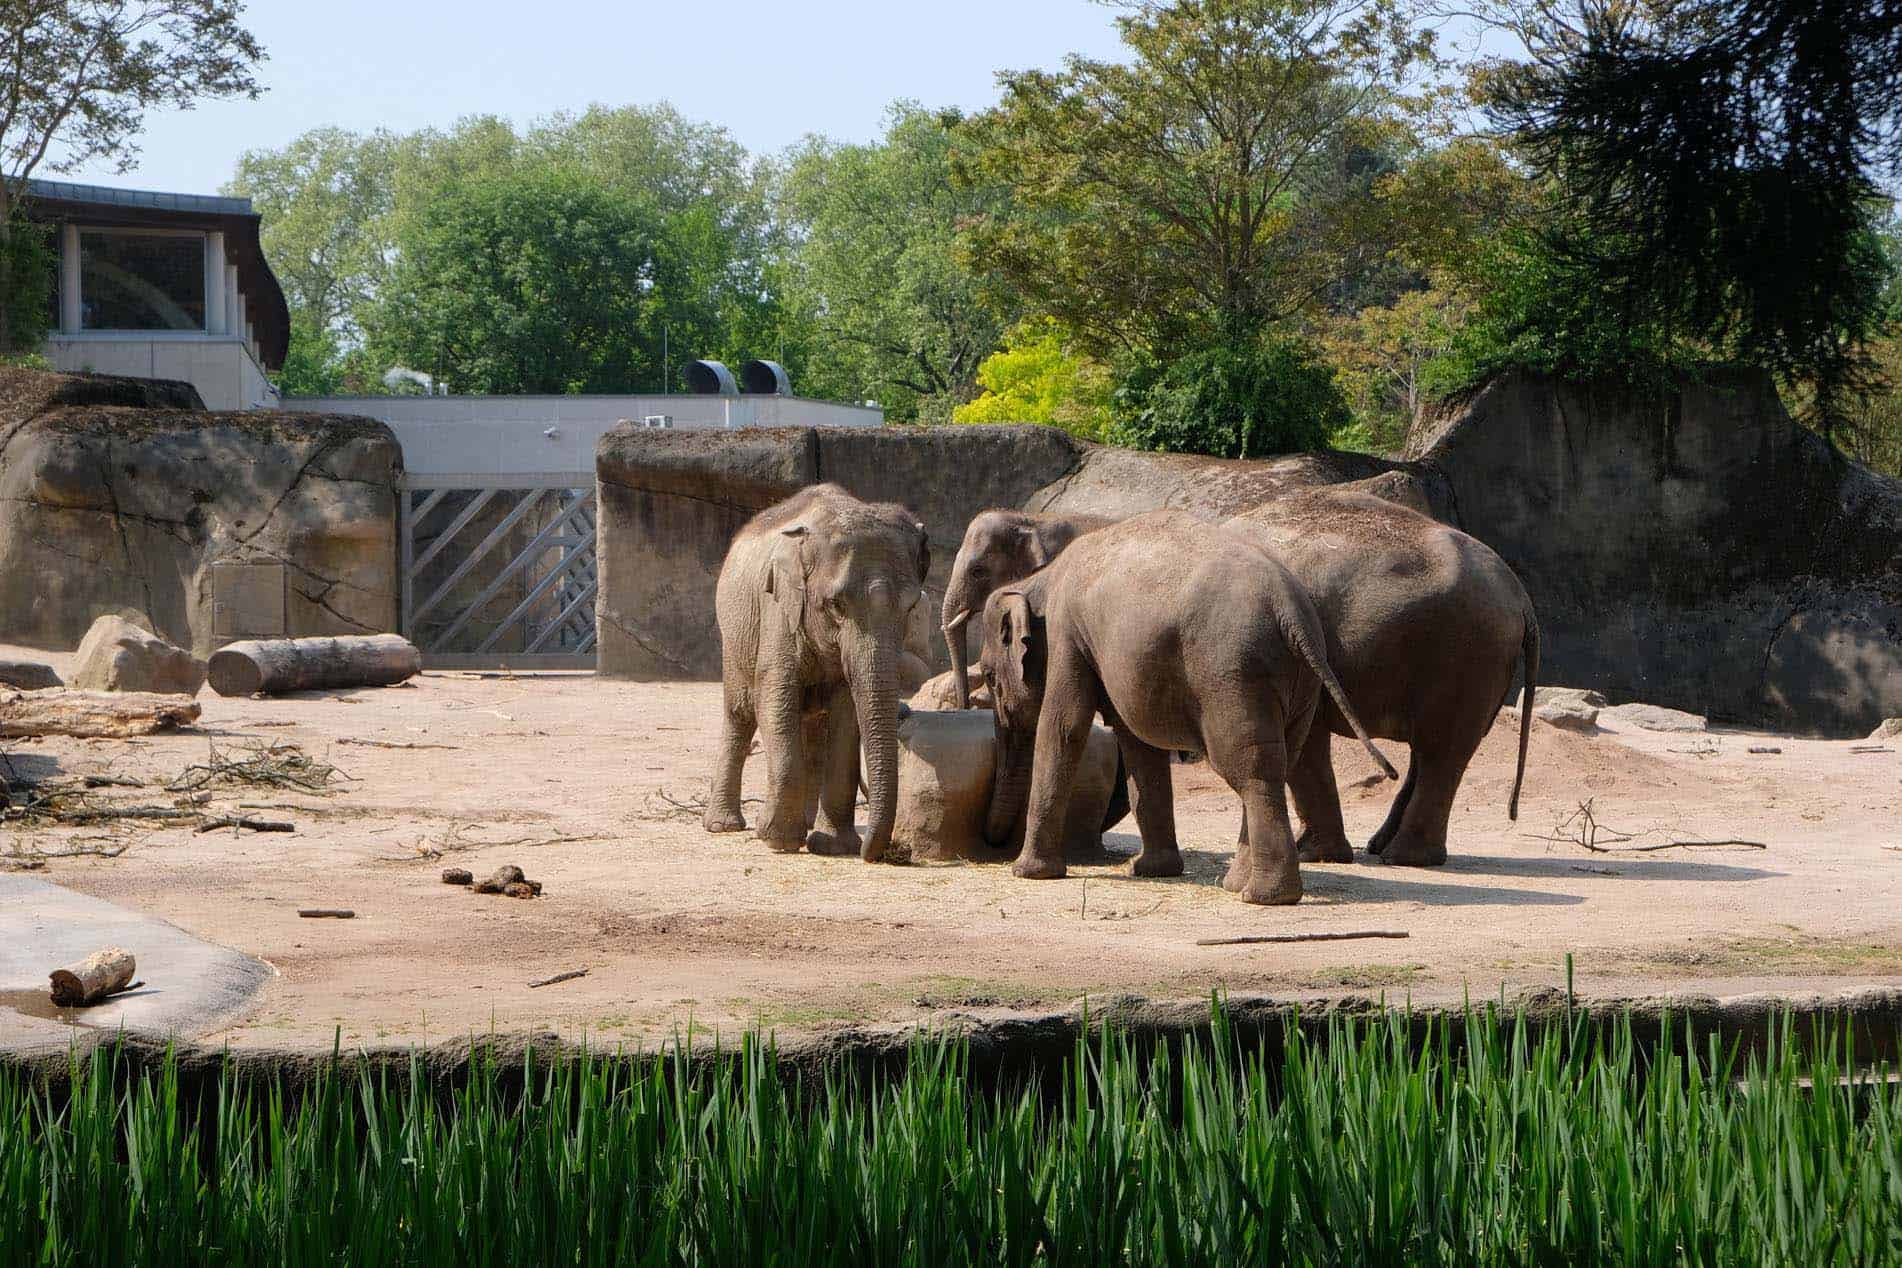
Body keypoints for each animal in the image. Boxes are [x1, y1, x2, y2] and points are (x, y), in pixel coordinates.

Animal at [707, 482, 928, 863]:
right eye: (836, 605)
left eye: (910, 607)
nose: (883, 852)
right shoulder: (778, 609)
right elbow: (775, 699)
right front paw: (776, 838)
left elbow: (846, 712)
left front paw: (832, 846)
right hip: (734, 637)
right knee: (740, 714)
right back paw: (724, 825)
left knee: (812, 727)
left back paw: (808, 824)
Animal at [973, 509, 1392, 908]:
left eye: (990, 677)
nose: (996, 845)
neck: (1039, 581)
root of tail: (1289, 609)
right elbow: (1137, 745)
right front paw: (1150, 870)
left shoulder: (1067, 633)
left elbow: (1064, 727)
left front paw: (1027, 873)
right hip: (1298, 681)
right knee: (1278, 761)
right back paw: (1237, 884)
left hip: (1231, 674)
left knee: (1250, 769)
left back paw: (1265, 896)